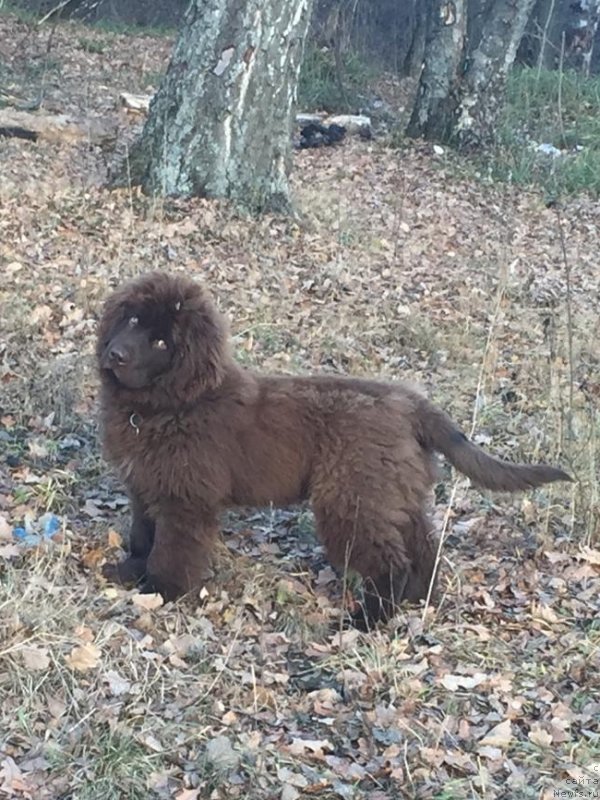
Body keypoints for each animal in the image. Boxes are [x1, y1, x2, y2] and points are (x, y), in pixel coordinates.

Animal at [98, 272, 572, 628]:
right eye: (134, 319)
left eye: (163, 343)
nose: (115, 355)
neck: (166, 407)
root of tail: (409, 403)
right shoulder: (145, 487)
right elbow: (142, 536)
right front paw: (129, 571)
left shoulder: (184, 499)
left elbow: (171, 548)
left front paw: (160, 591)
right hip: (393, 493)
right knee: (422, 546)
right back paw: (417, 598)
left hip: (353, 498)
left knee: (391, 562)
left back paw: (368, 620)